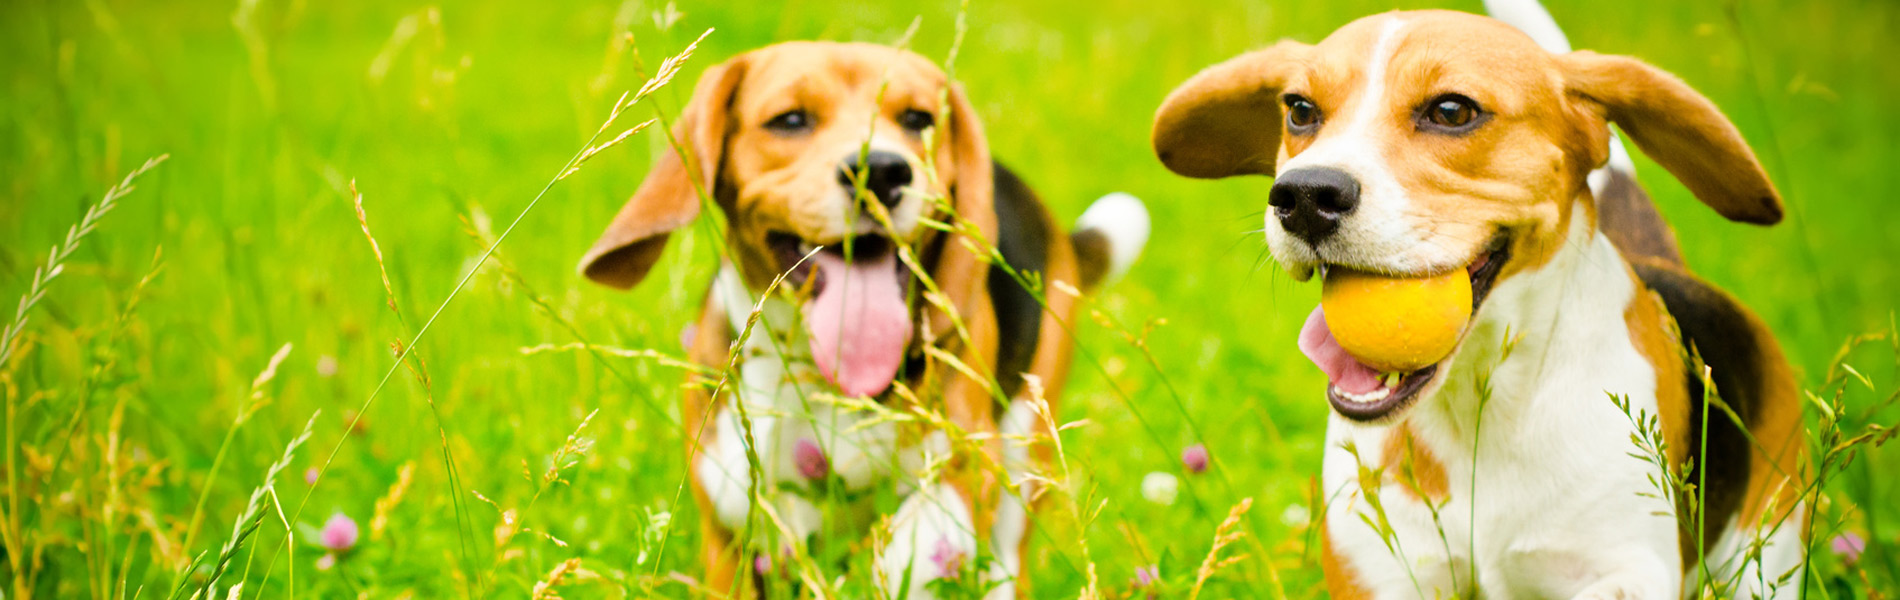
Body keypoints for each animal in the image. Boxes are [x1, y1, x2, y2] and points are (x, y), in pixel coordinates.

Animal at [577, 39, 1140, 596]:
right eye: (790, 120)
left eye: (918, 119)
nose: (883, 171)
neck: (819, 373)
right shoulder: (731, 510)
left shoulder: (968, 467)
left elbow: (910, 547)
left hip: (1026, 446)